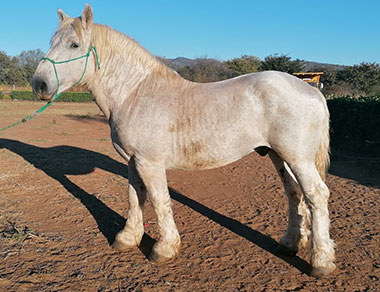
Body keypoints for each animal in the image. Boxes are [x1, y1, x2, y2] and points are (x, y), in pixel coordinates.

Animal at [31, 5, 336, 278]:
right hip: (278, 155)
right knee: (294, 193)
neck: (135, 93)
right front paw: (127, 239)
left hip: (298, 158)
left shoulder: (150, 162)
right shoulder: (132, 162)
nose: (39, 84)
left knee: (316, 195)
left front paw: (164, 249)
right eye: (52, 42)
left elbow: (159, 200)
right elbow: (135, 197)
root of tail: (311, 90)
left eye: (74, 45)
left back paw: (321, 262)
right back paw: (289, 244)